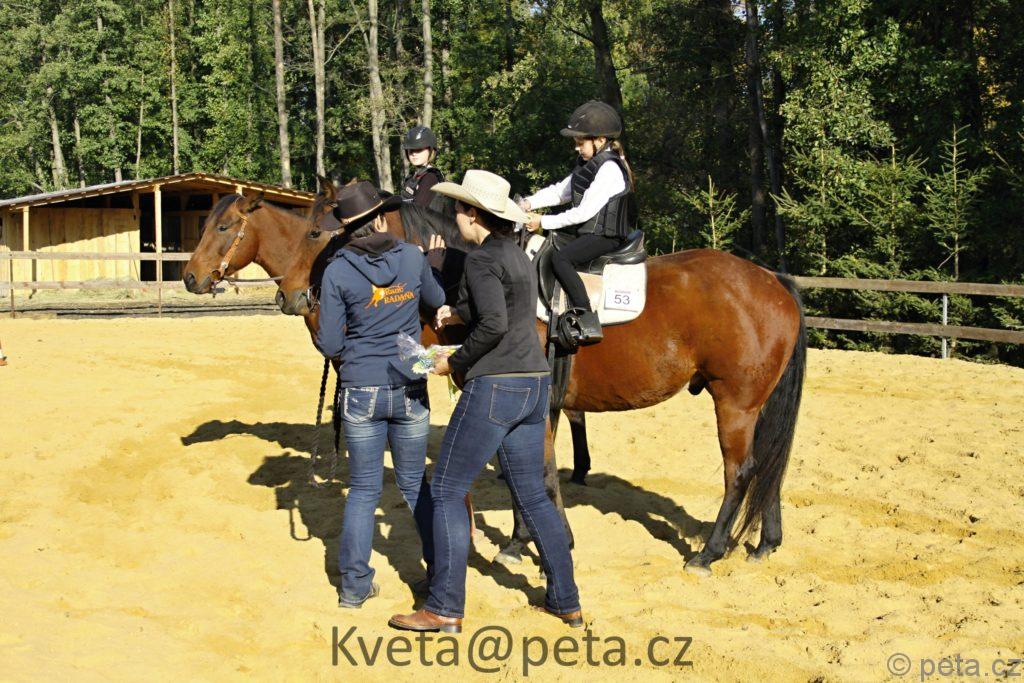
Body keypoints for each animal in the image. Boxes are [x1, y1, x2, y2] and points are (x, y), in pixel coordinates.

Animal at [277, 184, 807, 575]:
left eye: (320, 234)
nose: (294, 297)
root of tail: (772, 280)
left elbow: (539, 473)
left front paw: (547, 540)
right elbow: (523, 471)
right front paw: (519, 540)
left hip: (734, 403)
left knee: (740, 472)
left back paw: (709, 553)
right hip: (756, 406)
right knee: (770, 466)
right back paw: (766, 542)